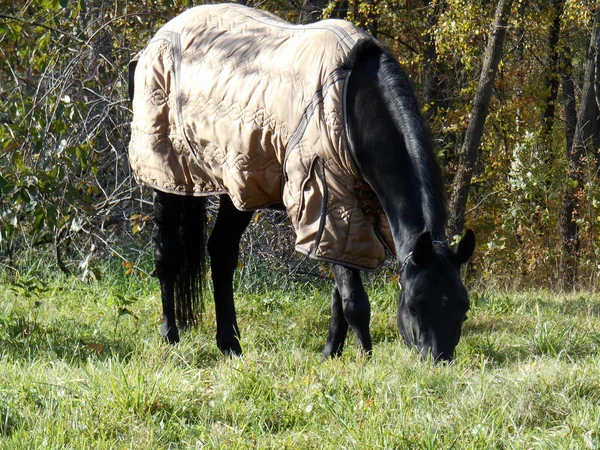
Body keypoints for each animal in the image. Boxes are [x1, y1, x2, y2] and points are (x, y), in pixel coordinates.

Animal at [134, 14, 476, 362]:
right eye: (414, 306)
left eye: (462, 310)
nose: (439, 360)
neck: (351, 106)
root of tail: (161, 37)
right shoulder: (329, 202)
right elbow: (354, 301)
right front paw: (365, 359)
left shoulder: (350, 216)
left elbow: (341, 297)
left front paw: (331, 354)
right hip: (168, 178)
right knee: (167, 256)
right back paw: (170, 334)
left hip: (240, 187)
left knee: (221, 252)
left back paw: (230, 344)